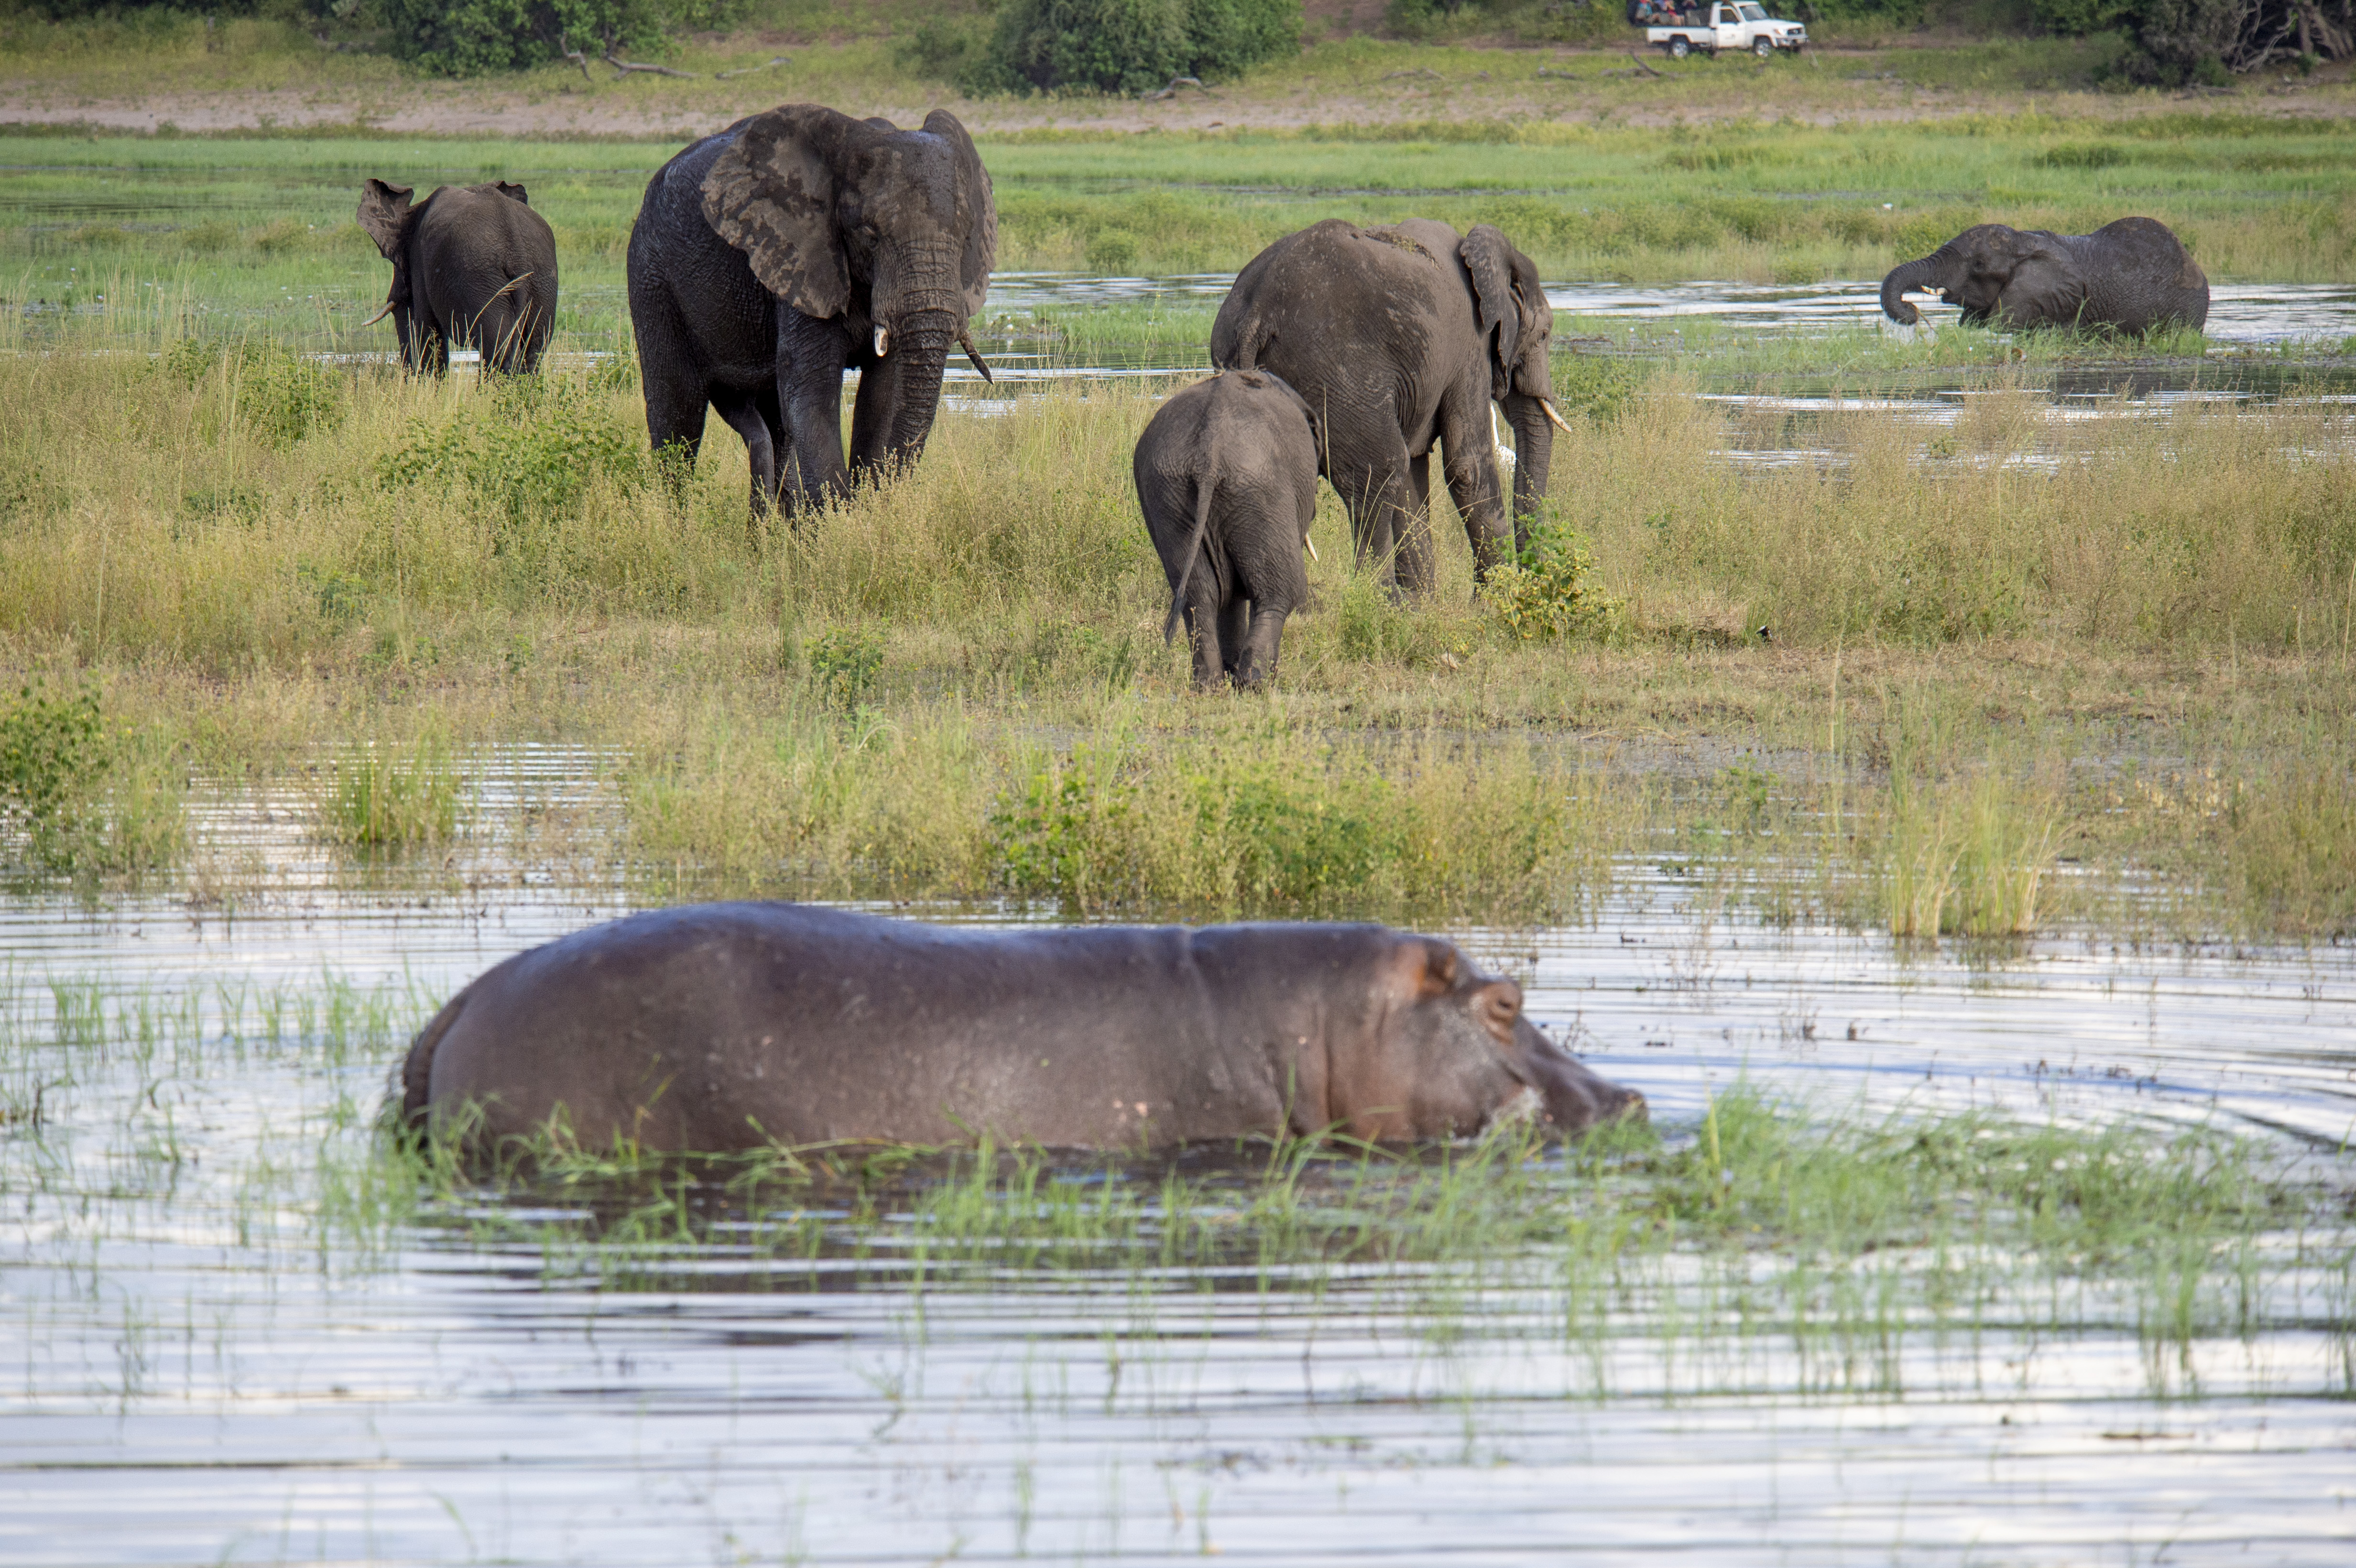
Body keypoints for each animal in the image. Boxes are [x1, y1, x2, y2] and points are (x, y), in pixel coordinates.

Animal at [356, 179, 558, 374]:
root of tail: (517, 253)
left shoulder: (420, 260)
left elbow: (428, 331)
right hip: (541, 282)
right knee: (532, 351)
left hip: (481, 283)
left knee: (496, 348)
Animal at [625, 104, 997, 522]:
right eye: (870, 235)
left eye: (965, 237)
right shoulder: (798, 258)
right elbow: (813, 391)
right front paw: (843, 525)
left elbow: (882, 395)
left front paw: (863, 513)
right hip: (652, 276)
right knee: (677, 414)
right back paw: (676, 525)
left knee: (773, 424)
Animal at [1135, 369, 1323, 691]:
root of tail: (1208, 451)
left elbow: (1230, 594)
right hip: (1260, 490)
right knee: (1280, 591)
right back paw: (1255, 683)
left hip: (1168, 494)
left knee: (1200, 597)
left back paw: (1209, 685)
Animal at [1210, 218, 1574, 597]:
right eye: (1544, 334)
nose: (1537, 577)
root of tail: (1255, 315)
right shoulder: (1470, 347)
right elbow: (1467, 467)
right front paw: (1496, 600)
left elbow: (1415, 474)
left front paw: (1426, 604)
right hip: (1338, 376)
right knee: (1381, 470)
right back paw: (1381, 600)